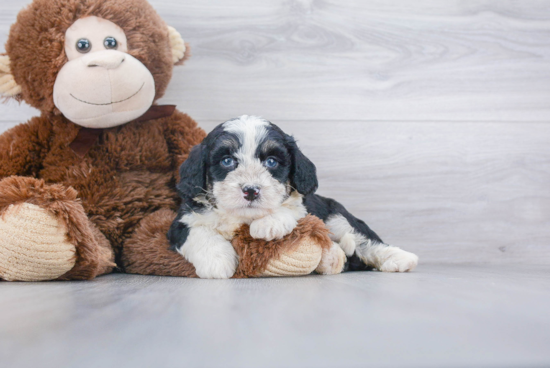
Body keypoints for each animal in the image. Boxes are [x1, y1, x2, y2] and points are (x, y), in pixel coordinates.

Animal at [168, 115, 418, 278]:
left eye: (271, 162)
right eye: (227, 161)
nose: (251, 190)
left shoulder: (306, 206)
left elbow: (293, 208)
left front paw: (269, 224)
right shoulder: (182, 221)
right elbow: (199, 233)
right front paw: (217, 261)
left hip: (336, 216)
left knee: (364, 240)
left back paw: (400, 258)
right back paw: (333, 259)